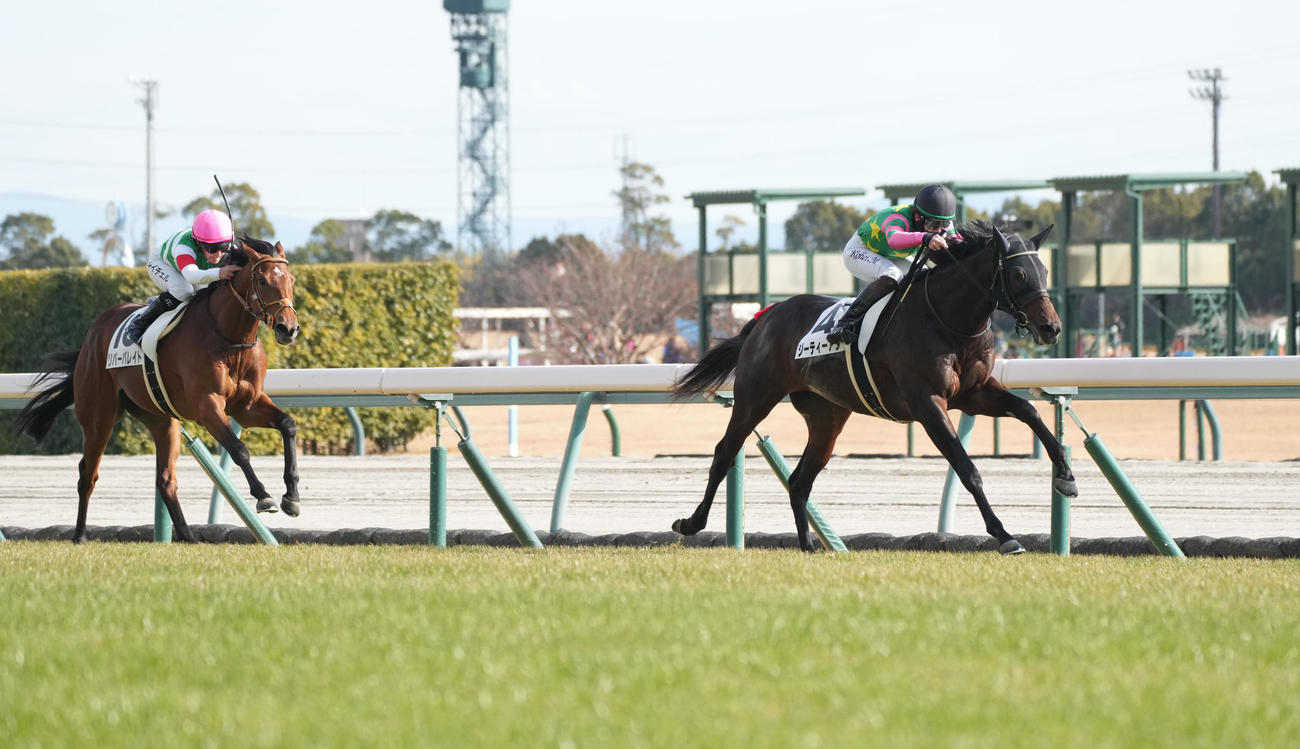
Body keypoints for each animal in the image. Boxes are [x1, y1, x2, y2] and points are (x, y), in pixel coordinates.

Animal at [16, 234, 302, 543]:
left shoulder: (246, 405)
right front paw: (264, 496)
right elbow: (239, 449)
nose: (288, 328)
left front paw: (292, 497)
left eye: (291, 279)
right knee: (87, 474)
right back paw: (80, 535)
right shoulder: (207, 405)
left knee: (165, 480)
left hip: (162, 420)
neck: (228, 337)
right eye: (262, 280)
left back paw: (188, 537)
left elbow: (288, 424)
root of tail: (93, 332)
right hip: (98, 416)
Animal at [671, 221, 1077, 555]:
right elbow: (967, 469)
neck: (948, 320)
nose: (1051, 327)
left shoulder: (973, 394)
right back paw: (691, 523)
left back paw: (809, 547)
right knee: (724, 453)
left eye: (1045, 271)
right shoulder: (929, 404)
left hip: (827, 416)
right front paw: (1005, 535)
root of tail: (765, 316)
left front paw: (1066, 477)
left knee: (800, 480)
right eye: (1019, 272)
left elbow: (1028, 411)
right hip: (755, 397)